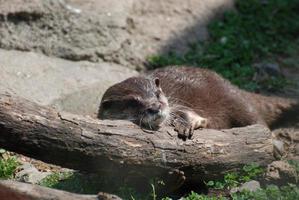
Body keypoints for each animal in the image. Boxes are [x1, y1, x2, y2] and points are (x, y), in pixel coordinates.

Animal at [98, 66, 298, 140]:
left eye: (157, 94)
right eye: (133, 102)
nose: (155, 107)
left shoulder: (178, 104)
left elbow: (189, 114)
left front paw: (185, 125)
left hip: (234, 99)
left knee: (256, 120)